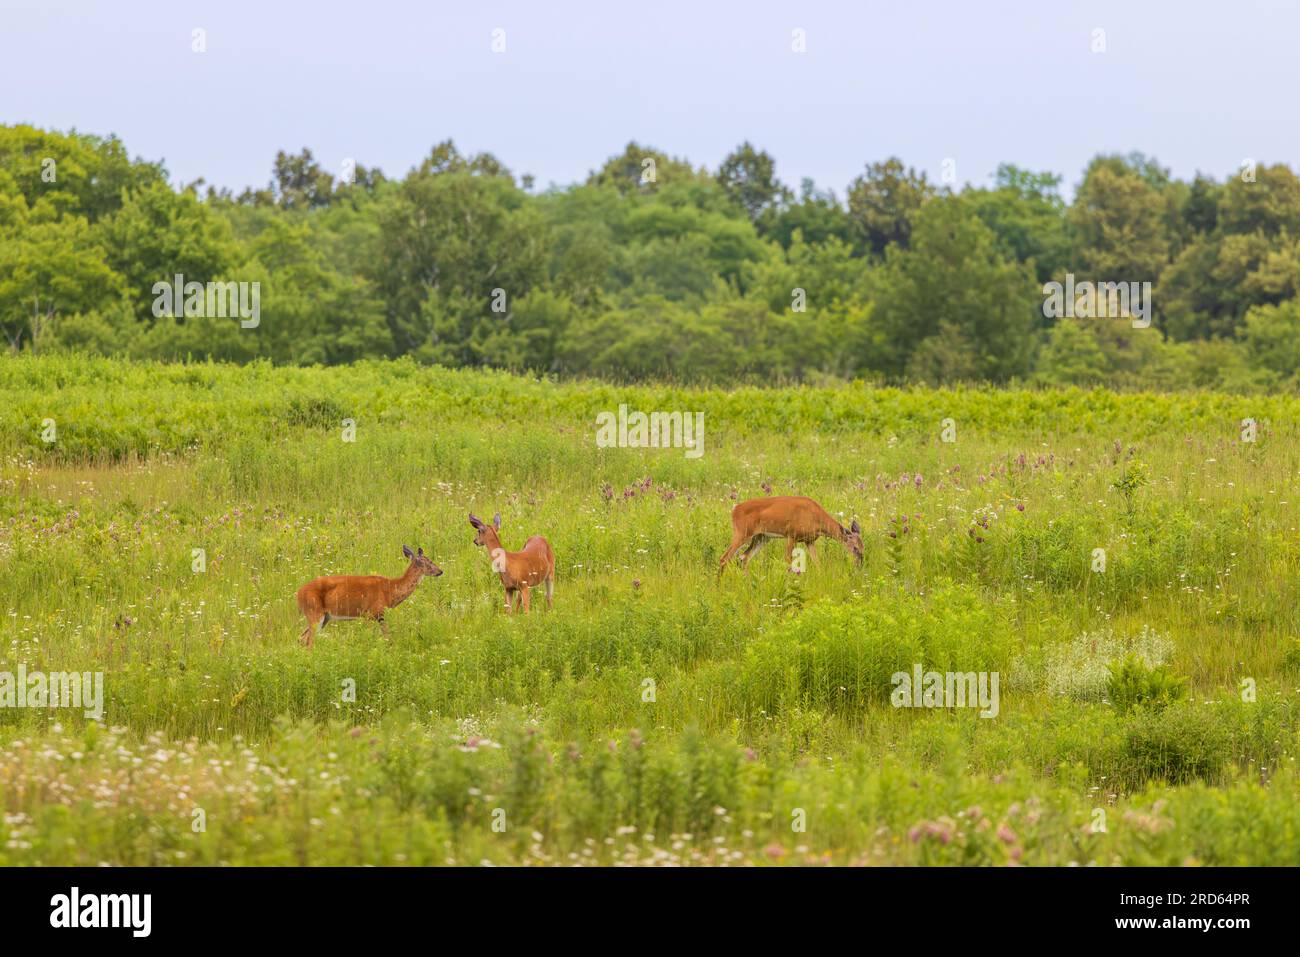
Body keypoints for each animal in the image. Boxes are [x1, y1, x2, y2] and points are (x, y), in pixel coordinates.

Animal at [295, 540, 441, 647]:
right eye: (428, 563)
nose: (440, 571)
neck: (390, 590)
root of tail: (298, 593)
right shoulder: (370, 613)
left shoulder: (379, 616)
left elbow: (387, 637)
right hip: (314, 611)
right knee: (308, 641)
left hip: (324, 617)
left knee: (301, 638)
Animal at [722, 494, 863, 574]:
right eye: (855, 548)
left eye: (863, 548)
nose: (859, 564)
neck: (816, 517)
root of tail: (734, 509)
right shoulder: (792, 535)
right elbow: (788, 561)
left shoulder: (809, 540)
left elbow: (817, 562)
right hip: (741, 533)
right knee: (725, 558)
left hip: (761, 537)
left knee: (744, 558)